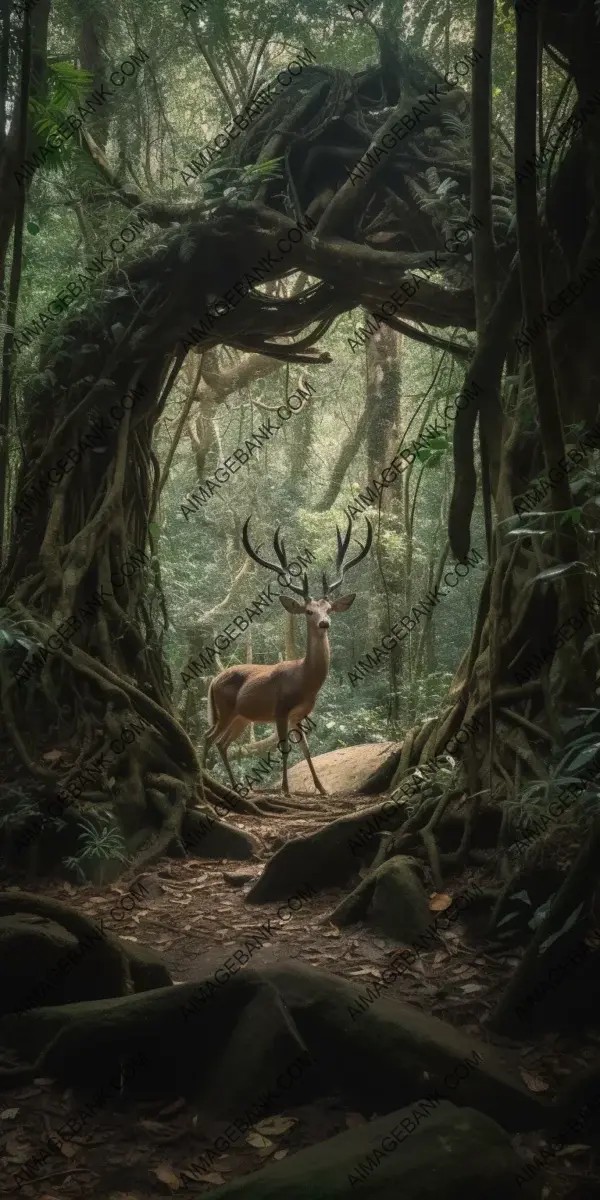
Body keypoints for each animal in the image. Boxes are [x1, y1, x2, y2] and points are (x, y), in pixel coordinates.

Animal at [202, 511, 369, 792]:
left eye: (329, 609)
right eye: (309, 611)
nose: (324, 623)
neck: (304, 680)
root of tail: (213, 680)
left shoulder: (299, 715)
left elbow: (306, 749)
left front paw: (321, 788)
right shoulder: (280, 710)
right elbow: (284, 748)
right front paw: (285, 789)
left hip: (241, 717)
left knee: (223, 743)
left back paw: (234, 785)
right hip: (224, 710)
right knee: (209, 737)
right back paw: (202, 775)